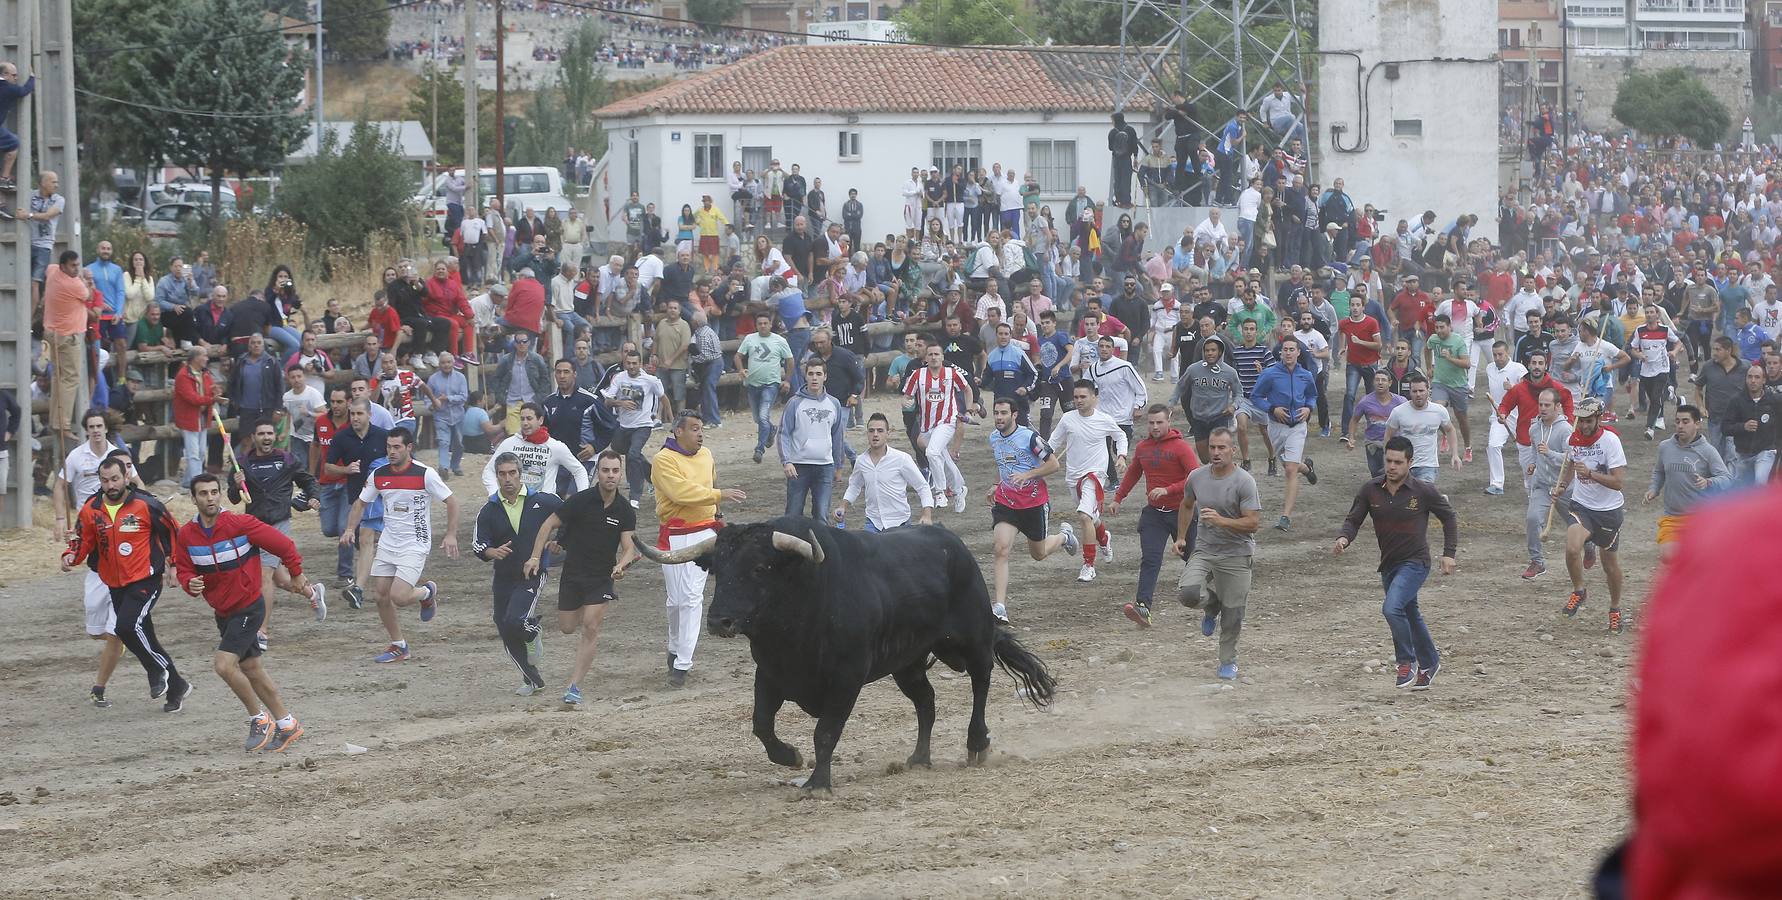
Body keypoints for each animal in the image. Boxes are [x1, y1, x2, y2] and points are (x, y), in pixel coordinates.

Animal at [641, 516, 1054, 787]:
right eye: (717, 569)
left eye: (760, 567)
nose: (719, 620)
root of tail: (956, 548)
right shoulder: (770, 674)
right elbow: (761, 724)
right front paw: (790, 757)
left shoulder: (846, 678)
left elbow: (826, 732)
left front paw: (817, 783)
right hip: (907, 664)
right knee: (926, 701)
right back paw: (919, 758)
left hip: (973, 639)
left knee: (981, 682)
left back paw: (976, 744)